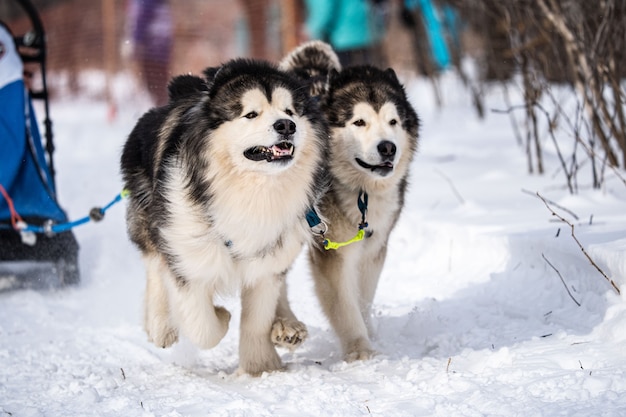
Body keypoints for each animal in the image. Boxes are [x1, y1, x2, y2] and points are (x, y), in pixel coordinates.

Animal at [119, 58, 330, 374]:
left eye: (290, 111)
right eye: (250, 114)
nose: (286, 125)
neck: (253, 189)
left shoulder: (267, 259)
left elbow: (258, 317)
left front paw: (259, 368)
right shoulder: (189, 257)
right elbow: (201, 325)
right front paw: (221, 315)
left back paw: (286, 324)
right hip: (150, 217)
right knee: (155, 265)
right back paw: (161, 325)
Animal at [280, 41, 416, 360]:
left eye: (393, 121)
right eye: (359, 122)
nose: (388, 147)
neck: (359, 191)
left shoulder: (373, 247)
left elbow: (362, 298)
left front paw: (369, 333)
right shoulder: (333, 253)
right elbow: (344, 304)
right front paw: (359, 349)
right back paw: (285, 325)